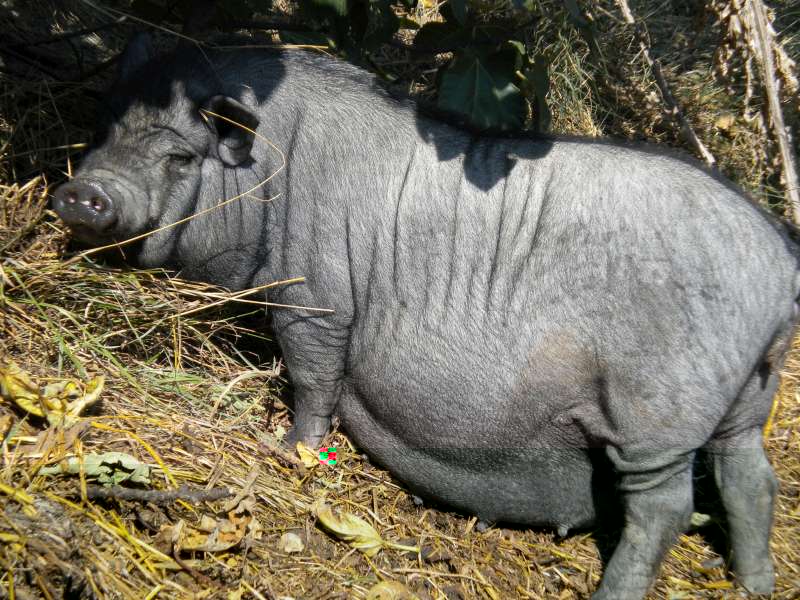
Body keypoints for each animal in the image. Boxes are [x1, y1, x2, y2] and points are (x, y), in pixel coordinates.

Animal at [53, 34, 800, 599]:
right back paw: (754, 585)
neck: (272, 172)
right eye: (106, 129)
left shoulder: (317, 298)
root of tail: (780, 264)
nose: (84, 192)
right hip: (748, 395)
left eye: (180, 155)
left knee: (664, 507)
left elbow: (313, 378)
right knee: (749, 476)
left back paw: (615, 593)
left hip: (658, 407)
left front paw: (290, 451)